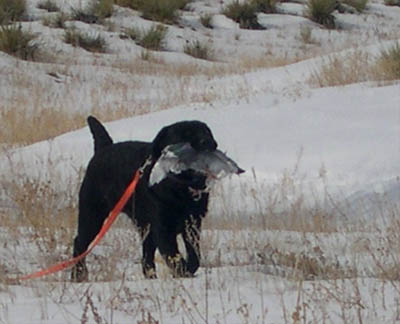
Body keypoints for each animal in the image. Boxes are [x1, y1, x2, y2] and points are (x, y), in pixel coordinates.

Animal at [70, 116, 217, 280]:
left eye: (206, 132)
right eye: (184, 135)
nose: (205, 142)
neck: (180, 189)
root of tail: (103, 148)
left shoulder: (193, 224)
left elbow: (194, 256)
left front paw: (187, 270)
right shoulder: (163, 228)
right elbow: (173, 255)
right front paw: (182, 272)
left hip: (144, 226)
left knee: (146, 256)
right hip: (92, 215)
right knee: (79, 243)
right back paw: (78, 275)